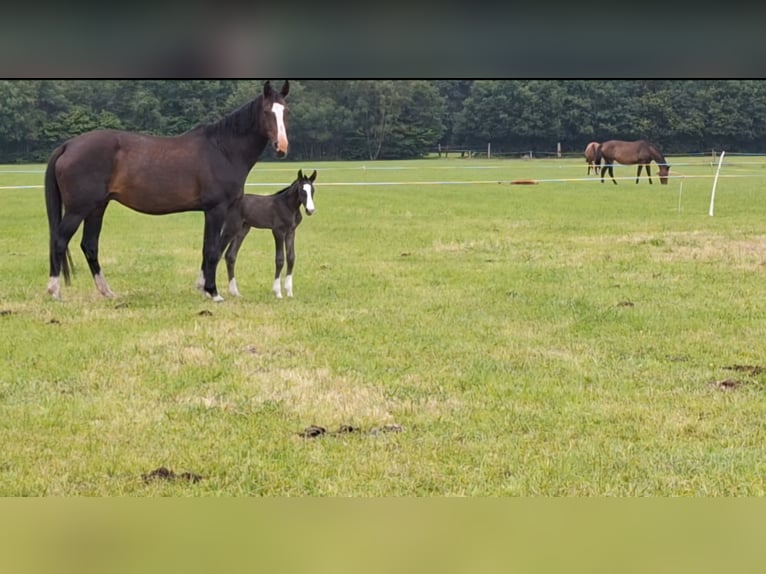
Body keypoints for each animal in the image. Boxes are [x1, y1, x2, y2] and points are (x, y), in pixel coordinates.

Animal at [45, 83, 292, 306]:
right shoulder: (216, 210)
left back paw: (107, 292)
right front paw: (213, 292)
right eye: (267, 111)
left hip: (97, 208)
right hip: (78, 210)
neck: (222, 149)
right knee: (59, 240)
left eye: (286, 111)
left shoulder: (213, 212)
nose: (282, 146)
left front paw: (203, 287)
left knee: (89, 245)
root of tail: (68, 145)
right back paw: (54, 291)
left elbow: (207, 249)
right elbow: (212, 249)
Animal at [222, 169, 318, 300]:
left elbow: (291, 258)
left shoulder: (291, 232)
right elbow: (280, 259)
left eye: (312, 190)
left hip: (242, 230)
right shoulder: (278, 231)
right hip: (230, 229)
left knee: (230, 255)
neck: (287, 206)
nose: (310, 210)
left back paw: (235, 292)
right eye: (301, 191)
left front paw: (289, 292)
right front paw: (277, 292)